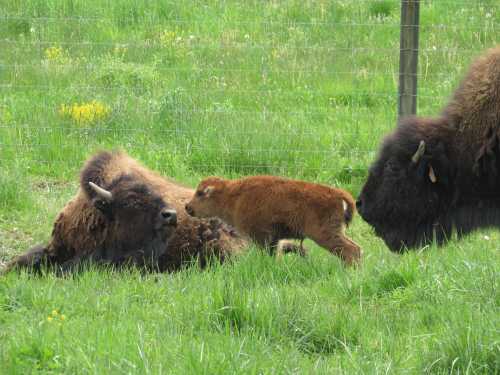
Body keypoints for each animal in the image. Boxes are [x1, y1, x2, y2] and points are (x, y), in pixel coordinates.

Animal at [186, 177, 362, 268]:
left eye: (200, 193)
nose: (188, 207)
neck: (232, 196)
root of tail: (341, 195)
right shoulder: (274, 239)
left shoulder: (261, 237)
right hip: (337, 231)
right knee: (356, 248)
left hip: (324, 234)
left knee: (350, 250)